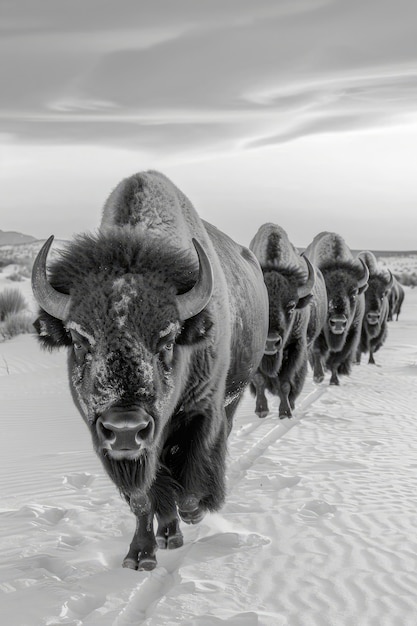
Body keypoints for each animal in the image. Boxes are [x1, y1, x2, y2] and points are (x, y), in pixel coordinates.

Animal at [31, 168, 266, 568]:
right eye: (78, 339)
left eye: (168, 339)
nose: (125, 428)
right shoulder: (120, 450)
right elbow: (143, 498)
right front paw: (141, 554)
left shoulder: (202, 411)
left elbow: (190, 476)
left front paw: (192, 513)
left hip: (233, 397)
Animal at [245, 222, 326, 416]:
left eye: (291, 306)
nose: (270, 342)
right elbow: (259, 380)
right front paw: (261, 410)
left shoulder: (295, 346)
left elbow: (285, 382)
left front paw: (285, 412)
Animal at [302, 230, 368, 382]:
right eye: (325, 293)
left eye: (354, 293)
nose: (338, 322)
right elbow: (317, 351)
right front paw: (318, 376)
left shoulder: (352, 331)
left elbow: (338, 357)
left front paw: (334, 380)